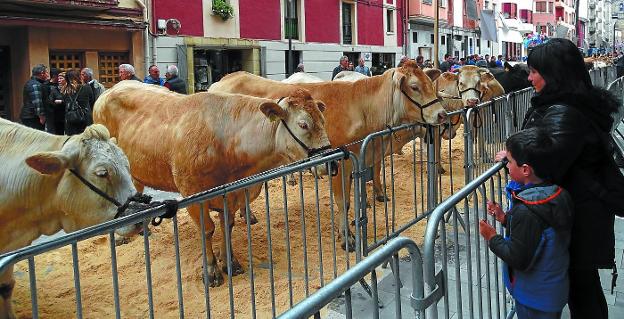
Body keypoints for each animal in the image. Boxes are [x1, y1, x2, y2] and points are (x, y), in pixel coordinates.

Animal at [92, 82, 332, 288]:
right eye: (303, 124)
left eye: (323, 119)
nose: (331, 163)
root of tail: (111, 89)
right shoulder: (192, 194)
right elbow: (207, 230)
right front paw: (211, 270)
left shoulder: (233, 194)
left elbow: (227, 225)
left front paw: (230, 262)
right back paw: (123, 236)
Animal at [210, 59, 448, 250]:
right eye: (415, 87)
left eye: (430, 84)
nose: (442, 114)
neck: (365, 110)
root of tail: (225, 79)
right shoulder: (340, 164)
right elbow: (344, 201)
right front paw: (347, 238)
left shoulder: (361, 159)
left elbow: (358, 195)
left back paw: (247, 214)